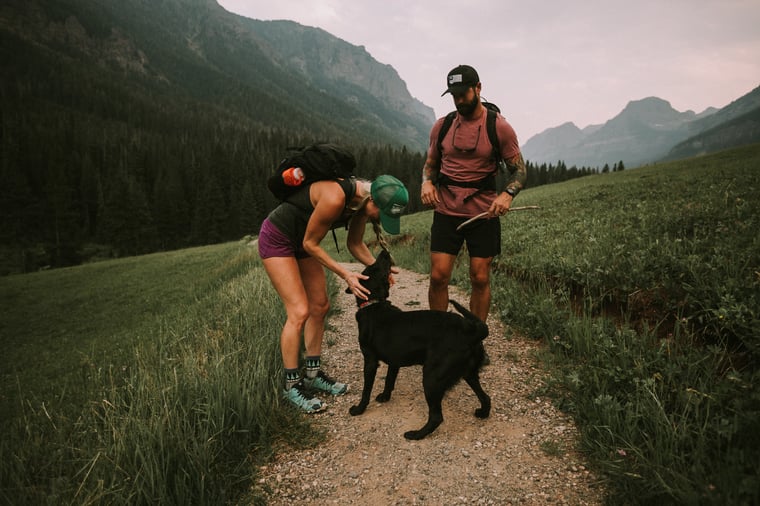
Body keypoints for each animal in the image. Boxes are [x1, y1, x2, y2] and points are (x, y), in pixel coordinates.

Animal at [346, 250, 490, 438]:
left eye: (373, 267)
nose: (385, 251)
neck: (374, 304)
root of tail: (471, 331)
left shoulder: (370, 361)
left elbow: (366, 391)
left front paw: (359, 409)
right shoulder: (394, 362)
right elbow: (389, 381)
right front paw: (385, 397)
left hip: (431, 377)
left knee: (436, 417)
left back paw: (416, 434)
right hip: (469, 373)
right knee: (486, 398)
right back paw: (483, 412)